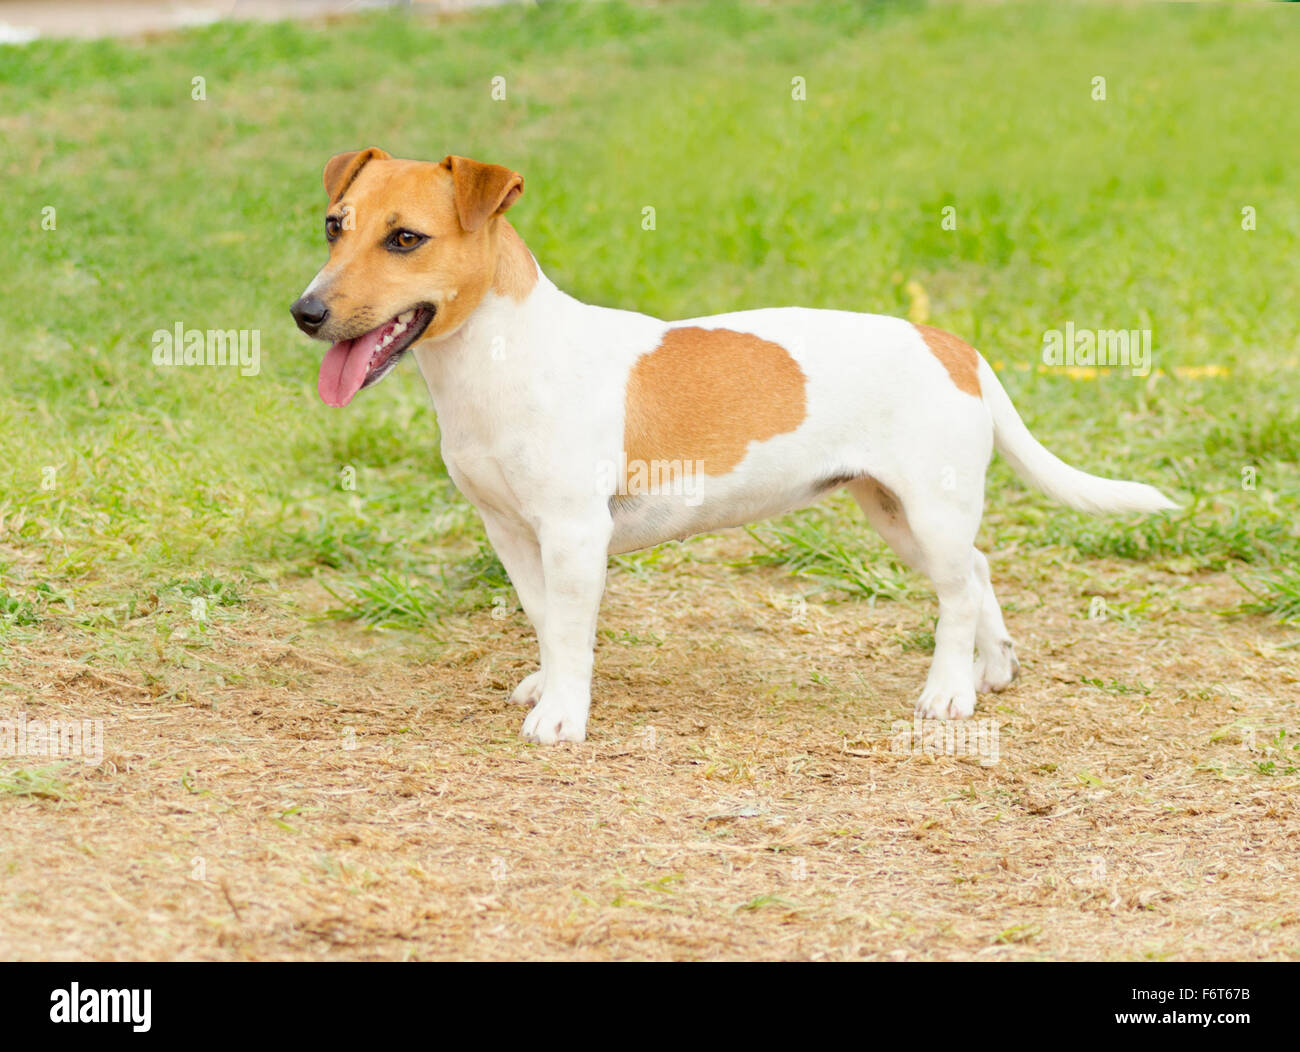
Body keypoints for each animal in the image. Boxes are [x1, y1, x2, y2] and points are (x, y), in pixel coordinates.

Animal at [292, 152, 1180, 749]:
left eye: (406, 239)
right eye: (335, 226)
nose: (305, 312)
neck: (498, 358)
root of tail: (950, 343)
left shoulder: (575, 535)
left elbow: (572, 626)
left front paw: (564, 714)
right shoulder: (512, 534)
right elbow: (546, 620)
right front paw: (549, 683)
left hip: (929, 509)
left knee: (958, 597)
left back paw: (948, 691)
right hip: (900, 513)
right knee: (979, 571)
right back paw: (989, 670)